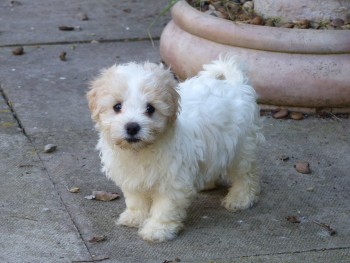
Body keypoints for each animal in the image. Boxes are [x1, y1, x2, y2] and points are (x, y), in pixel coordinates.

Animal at [87, 57, 262, 243]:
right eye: (117, 106)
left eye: (150, 108)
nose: (132, 127)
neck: (141, 150)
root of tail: (236, 84)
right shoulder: (131, 176)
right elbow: (136, 198)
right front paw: (135, 217)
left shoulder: (172, 180)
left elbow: (165, 206)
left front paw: (158, 229)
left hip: (242, 147)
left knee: (245, 175)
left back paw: (240, 199)